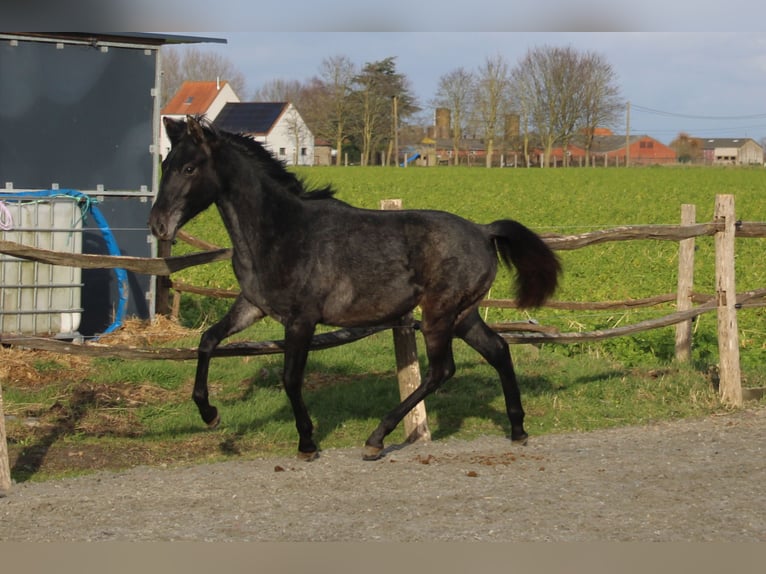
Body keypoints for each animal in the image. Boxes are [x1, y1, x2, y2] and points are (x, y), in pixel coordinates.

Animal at [150, 117, 560, 464]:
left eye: (189, 168)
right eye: (165, 164)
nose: (157, 225)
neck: (279, 231)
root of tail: (483, 231)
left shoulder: (302, 320)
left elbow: (291, 378)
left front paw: (307, 443)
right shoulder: (253, 305)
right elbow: (208, 340)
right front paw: (209, 414)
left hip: (438, 314)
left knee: (442, 369)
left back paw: (376, 439)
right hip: (463, 315)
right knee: (498, 349)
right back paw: (518, 429)